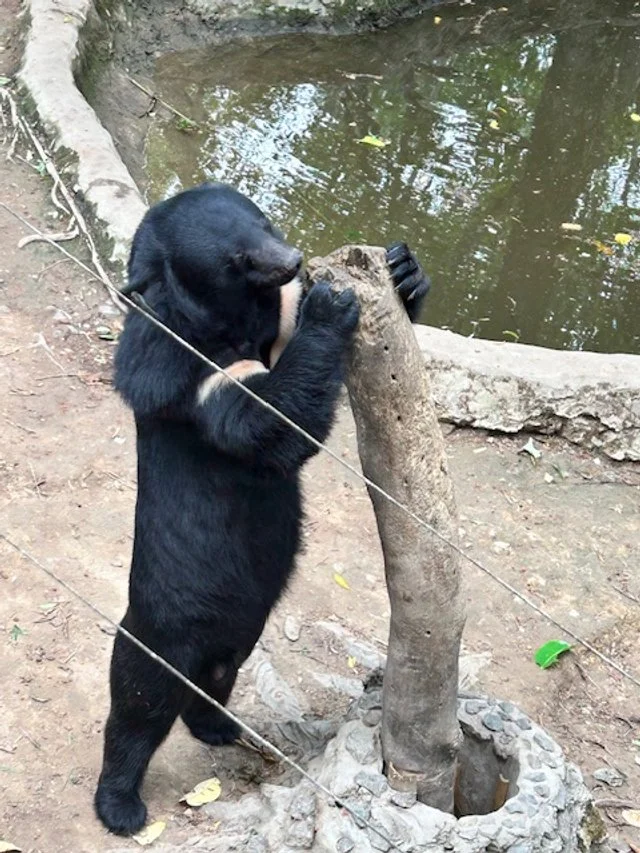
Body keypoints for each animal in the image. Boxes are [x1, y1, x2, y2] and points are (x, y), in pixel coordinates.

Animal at [94, 182, 430, 836]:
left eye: (265, 222)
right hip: (163, 631)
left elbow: (288, 345)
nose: (295, 260)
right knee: (139, 705)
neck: (227, 328)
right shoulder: (183, 373)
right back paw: (120, 806)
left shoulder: (264, 333)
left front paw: (403, 267)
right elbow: (267, 421)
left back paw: (221, 728)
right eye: (238, 260)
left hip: (243, 625)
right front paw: (331, 305)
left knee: (216, 678)